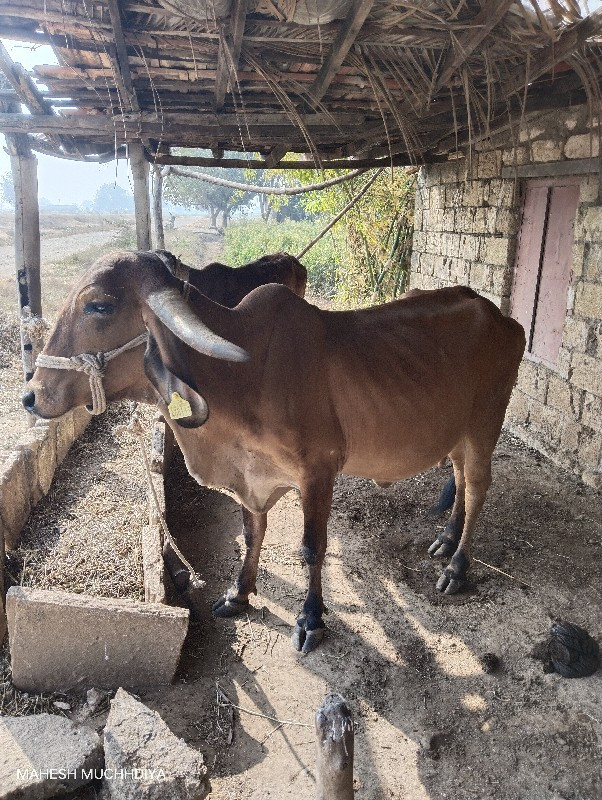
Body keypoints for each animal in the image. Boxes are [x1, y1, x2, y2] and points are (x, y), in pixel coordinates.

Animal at [23, 253, 524, 652]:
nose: (31, 395)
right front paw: (238, 594)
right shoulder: (251, 477)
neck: (243, 378)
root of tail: (503, 318)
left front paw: (310, 619)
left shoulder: (319, 471)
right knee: (459, 479)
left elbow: (312, 548)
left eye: (100, 306)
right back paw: (446, 538)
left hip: (485, 424)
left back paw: (457, 566)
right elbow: (252, 533)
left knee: (477, 488)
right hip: (456, 432)